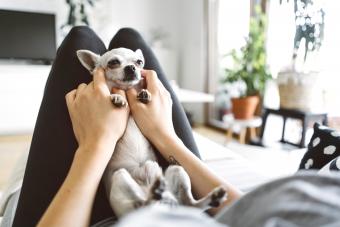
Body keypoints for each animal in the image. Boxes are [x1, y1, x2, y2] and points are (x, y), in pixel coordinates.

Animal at [75, 47, 227, 218]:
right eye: (113, 62)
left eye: (139, 62)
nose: (131, 68)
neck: (126, 90)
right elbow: (110, 92)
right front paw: (116, 97)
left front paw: (145, 94)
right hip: (121, 178)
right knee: (143, 204)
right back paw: (154, 194)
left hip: (177, 169)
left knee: (190, 204)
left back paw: (211, 198)